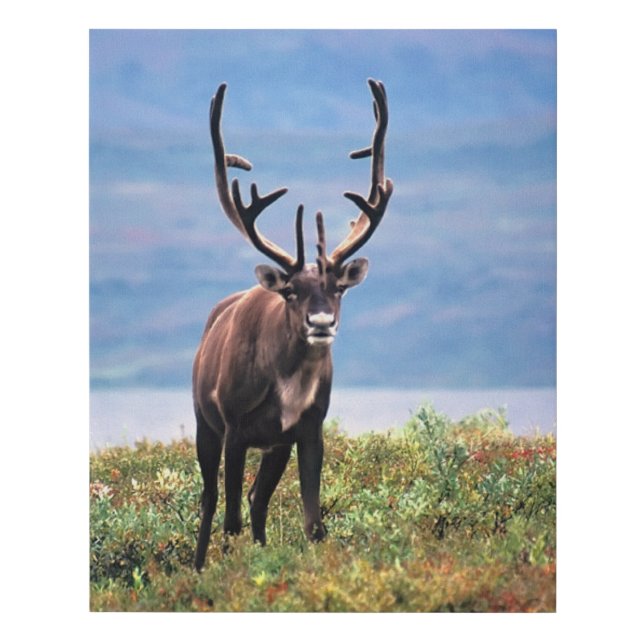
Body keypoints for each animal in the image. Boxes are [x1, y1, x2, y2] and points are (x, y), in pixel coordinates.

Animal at [193, 78, 393, 571]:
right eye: (291, 292)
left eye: (338, 288)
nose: (321, 321)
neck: (288, 383)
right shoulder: (235, 427)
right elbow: (228, 521)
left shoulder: (307, 427)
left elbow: (313, 523)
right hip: (205, 423)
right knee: (211, 503)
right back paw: (199, 565)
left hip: (274, 446)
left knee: (257, 501)